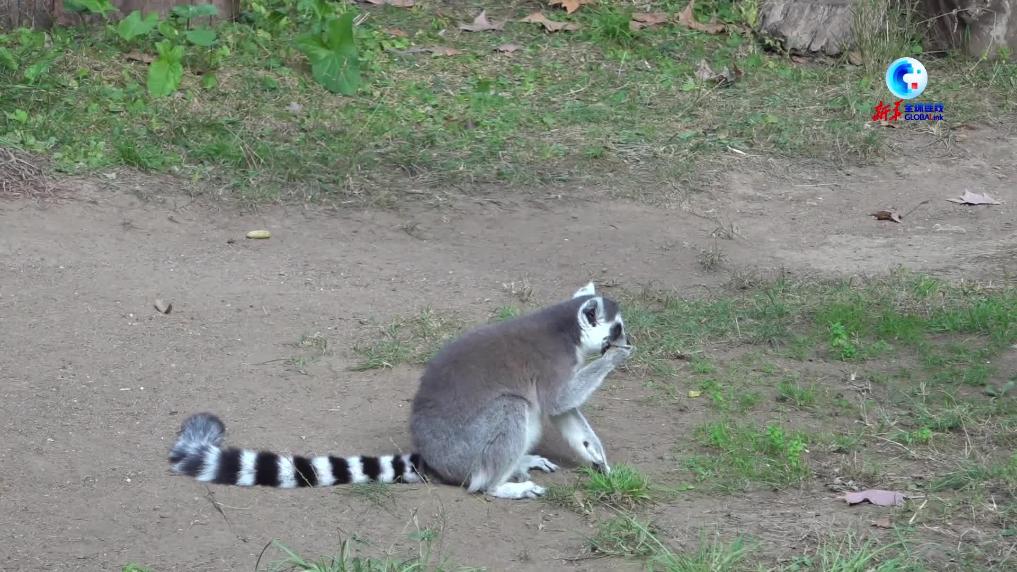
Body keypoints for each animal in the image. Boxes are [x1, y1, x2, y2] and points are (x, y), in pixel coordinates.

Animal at [167, 282, 633, 500]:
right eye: (617, 329)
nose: (627, 342)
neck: (567, 331)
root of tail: (435, 458)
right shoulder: (554, 365)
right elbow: (559, 401)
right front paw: (615, 361)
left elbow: (565, 413)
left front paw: (599, 462)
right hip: (470, 447)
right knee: (510, 412)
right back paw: (500, 484)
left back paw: (521, 463)